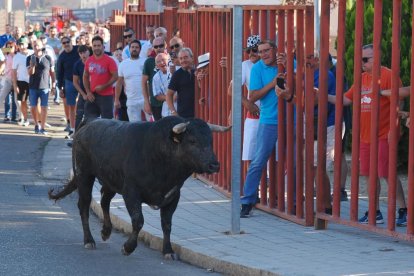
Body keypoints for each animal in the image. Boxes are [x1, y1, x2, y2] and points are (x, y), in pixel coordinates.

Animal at [49, 116, 230, 258]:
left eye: (211, 141)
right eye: (192, 141)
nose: (214, 165)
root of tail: (89, 122)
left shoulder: (174, 196)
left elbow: (167, 224)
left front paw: (168, 251)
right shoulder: (131, 192)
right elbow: (138, 221)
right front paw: (128, 247)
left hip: (110, 181)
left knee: (104, 201)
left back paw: (106, 231)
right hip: (84, 175)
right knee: (84, 206)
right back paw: (89, 240)